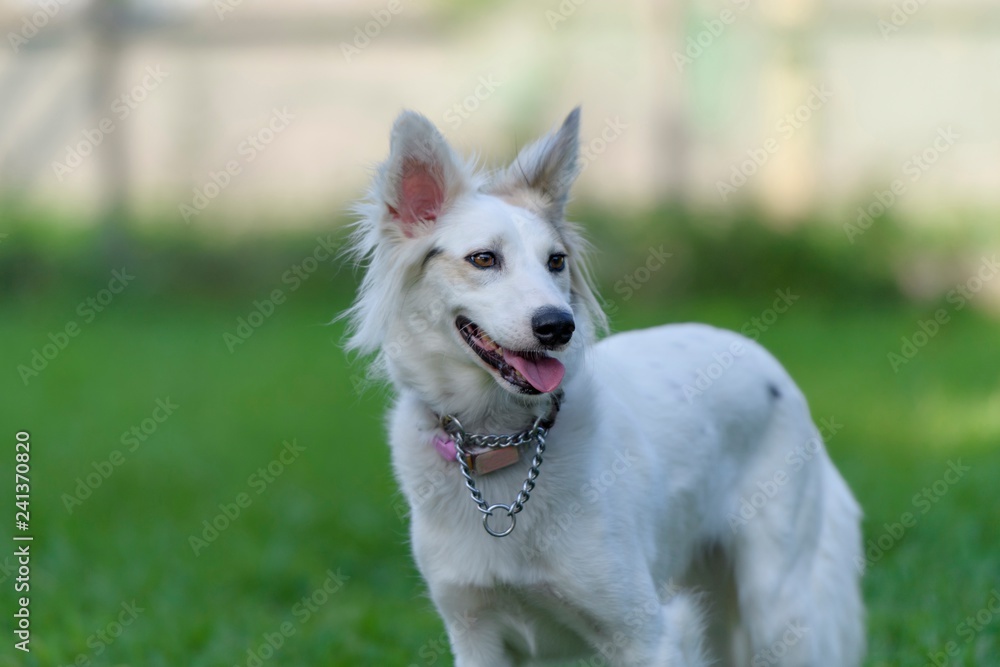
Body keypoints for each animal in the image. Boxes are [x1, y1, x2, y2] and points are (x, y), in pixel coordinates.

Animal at [346, 107, 868, 664]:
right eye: (483, 259)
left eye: (556, 261)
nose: (559, 326)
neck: (501, 441)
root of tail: (763, 359)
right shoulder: (473, 633)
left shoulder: (645, 634)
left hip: (776, 607)